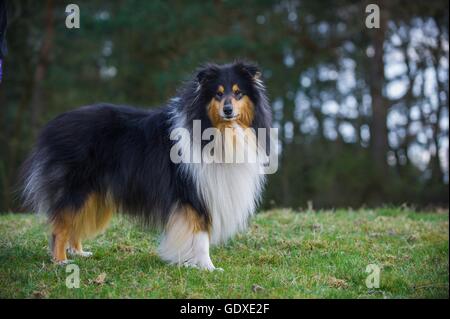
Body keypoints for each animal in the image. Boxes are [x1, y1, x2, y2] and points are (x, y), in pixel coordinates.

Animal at [19, 61, 272, 272]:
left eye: (238, 92)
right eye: (218, 94)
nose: (228, 110)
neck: (219, 131)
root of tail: (53, 126)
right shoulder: (193, 194)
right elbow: (201, 236)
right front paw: (208, 267)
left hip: (92, 194)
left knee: (73, 223)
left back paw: (79, 253)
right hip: (76, 188)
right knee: (60, 225)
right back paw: (61, 261)